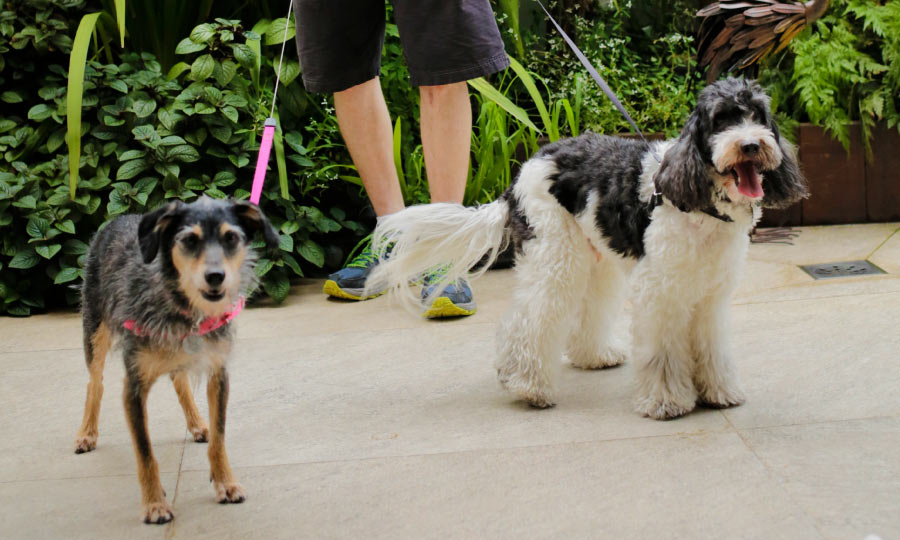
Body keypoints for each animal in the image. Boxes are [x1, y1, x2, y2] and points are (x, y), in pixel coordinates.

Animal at [73, 197, 276, 524]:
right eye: (189, 240)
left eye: (231, 238)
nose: (215, 276)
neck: (185, 308)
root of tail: (121, 216)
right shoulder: (133, 387)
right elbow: (145, 453)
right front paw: (154, 504)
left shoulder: (219, 373)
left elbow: (219, 438)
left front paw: (226, 483)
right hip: (94, 329)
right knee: (95, 383)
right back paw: (87, 433)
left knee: (179, 380)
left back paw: (197, 423)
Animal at [366, 79, 808, 418]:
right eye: (721, 120)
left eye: (758, 116)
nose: (750, 145)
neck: (697, 201)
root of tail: (524, 170)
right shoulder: (661, 293)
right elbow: (663, 352)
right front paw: (665, 401)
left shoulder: (709, 298)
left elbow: (711, 348)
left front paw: (718, 391)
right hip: (556, 258)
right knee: (528, 320)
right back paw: (527, 386)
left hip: (596, 261)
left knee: (584, 310)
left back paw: (592, 356)